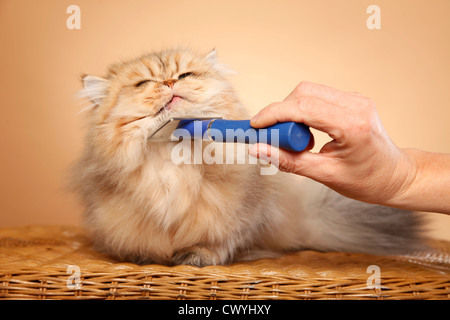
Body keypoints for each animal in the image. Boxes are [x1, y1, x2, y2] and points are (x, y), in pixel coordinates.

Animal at [69, 47, 426, 266]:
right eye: (144, 83)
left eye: (184, 76)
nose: (169, 83)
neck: (174, 158)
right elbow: (142, 244)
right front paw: (146, 257)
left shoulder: (241, 215)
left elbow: (219, 242)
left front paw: (199, 256)